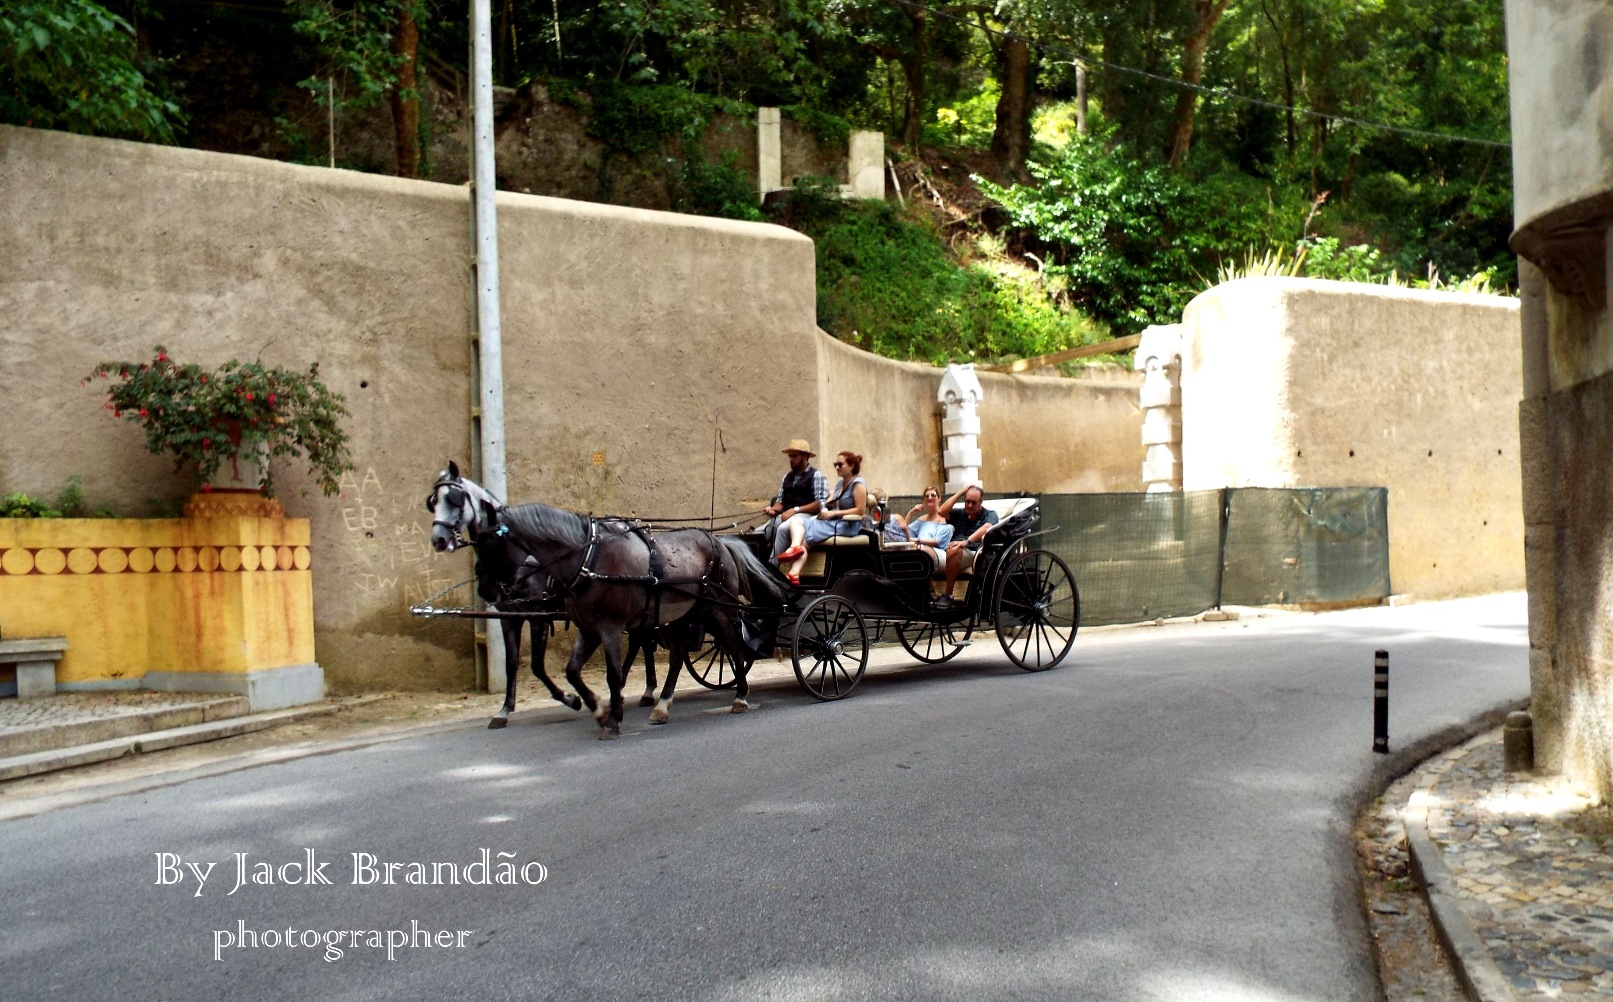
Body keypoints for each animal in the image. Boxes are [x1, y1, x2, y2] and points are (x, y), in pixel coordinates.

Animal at [429, 461, 780, 735]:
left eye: (455, 500)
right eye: (433, 501)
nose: (438, 539)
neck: (584, 557)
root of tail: (719, 541)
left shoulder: (589, 624)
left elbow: (565, 668)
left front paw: (606, 715)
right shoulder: (574, 626)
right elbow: (558, 668)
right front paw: (595, 707)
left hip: (717, 610)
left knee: (733, 646)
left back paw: (739, 695)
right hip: (676, 615)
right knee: (678, 654)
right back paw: (661, 703)